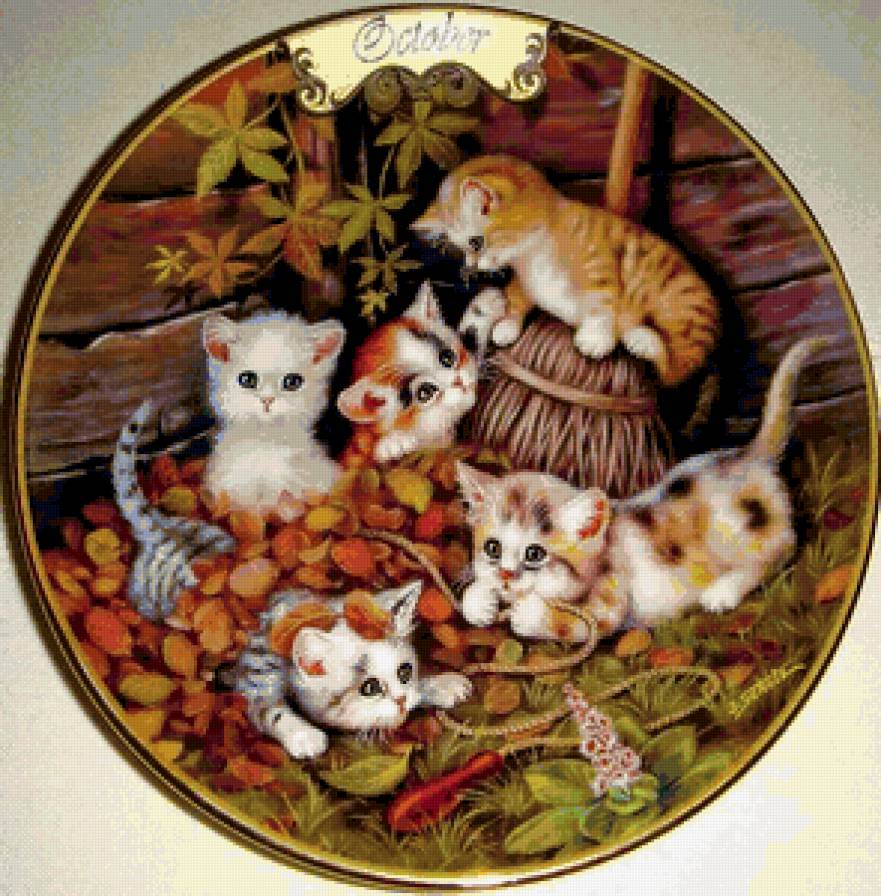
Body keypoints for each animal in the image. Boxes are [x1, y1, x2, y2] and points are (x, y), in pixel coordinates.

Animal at [230, 580, 472, 759]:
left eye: (405, 672)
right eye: (370, 688)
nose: (401, 701)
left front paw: (442, 685)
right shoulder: (256, 672)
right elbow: (268, 708)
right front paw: (303, 735)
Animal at [412, 154, 720, 386]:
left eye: (476, 242)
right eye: (461, 250)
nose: (469, 267)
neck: (534, 249)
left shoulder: (598, 262)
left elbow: (602, 300)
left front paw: (595, 338)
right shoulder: (525, 280)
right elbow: (515, 297)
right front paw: (506, 323)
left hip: (678, 301)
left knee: (678, 366)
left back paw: (643, 338)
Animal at [456, 338, 824, 639]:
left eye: (535, 554)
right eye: (492, 547)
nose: (505, 574)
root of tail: (749, 455)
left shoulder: (610, 597)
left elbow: (582, 623)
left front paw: (529, 613)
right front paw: (479, 600)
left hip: (731, 529)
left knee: (782, 548)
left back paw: (724, 591)